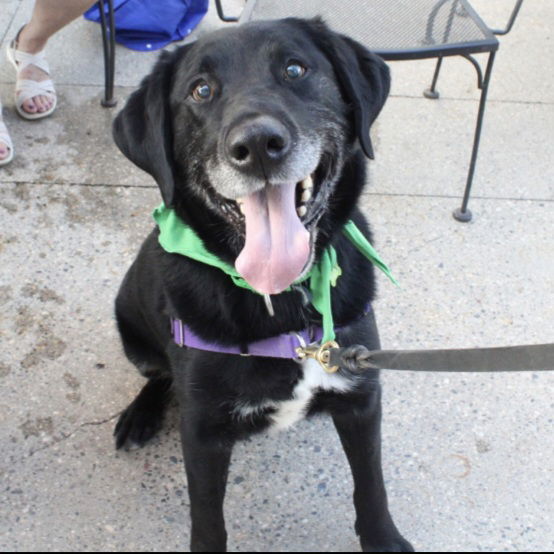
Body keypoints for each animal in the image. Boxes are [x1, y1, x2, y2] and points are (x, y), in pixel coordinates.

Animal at [112, 16, 412, 548]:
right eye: (201, 90)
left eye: (295, 69)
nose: (256, 146)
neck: (285, 303)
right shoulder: (203, 433)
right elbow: (208, 521)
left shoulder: (362, 396)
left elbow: (372, 486)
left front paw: (384, 539)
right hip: (130, 326)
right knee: (157, 376)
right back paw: (139, 415)